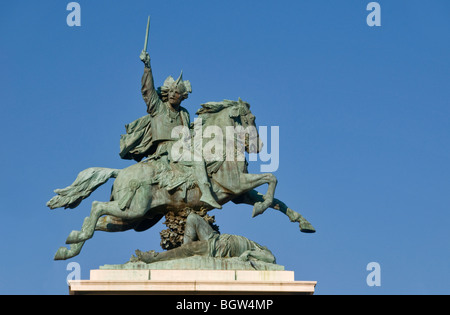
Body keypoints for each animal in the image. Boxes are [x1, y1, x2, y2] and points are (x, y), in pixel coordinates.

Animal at [47, 100, 314, 260]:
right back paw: (75, 240)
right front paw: (260, 208)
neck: (219, 144)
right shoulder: (237, 184)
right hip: (134, 210)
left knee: (98, 220)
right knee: (96, 207)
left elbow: (278, 200)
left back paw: (69, 247)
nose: (258, 146)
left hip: (132, 218)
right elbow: (272, 178)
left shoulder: (240, 193)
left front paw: (303, 222)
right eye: (250, 119)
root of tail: (119, 172)